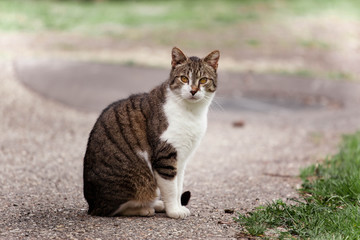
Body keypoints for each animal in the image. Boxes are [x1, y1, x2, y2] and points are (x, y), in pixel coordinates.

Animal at [83, 47, 219, 219]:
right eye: (184, 78)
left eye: (203, 80)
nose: (193, 91)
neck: (191, 112)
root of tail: (91, 206)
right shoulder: (165, 157)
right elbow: (171, 189)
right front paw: (174, 211)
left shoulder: (181, 159)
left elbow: (178, 187)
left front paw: (177, 206)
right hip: (136, 181)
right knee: (114, 209)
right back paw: (145, 209)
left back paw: (157, 204)